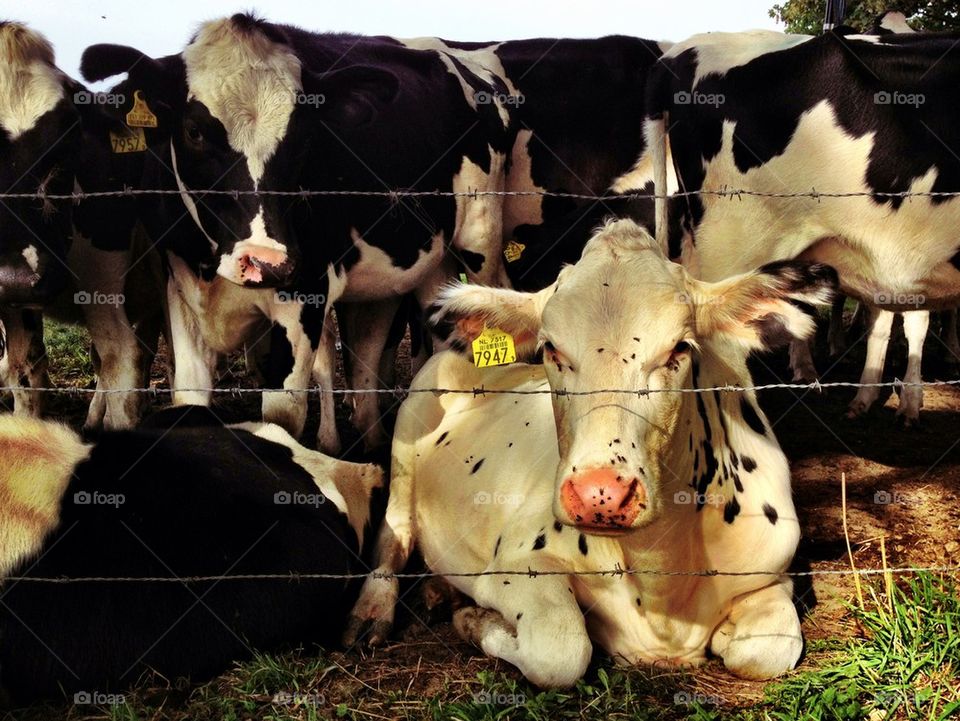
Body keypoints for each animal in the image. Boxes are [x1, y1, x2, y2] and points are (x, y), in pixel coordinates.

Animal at [80, 14, 517, 454]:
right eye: (194, 131)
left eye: (304, 136)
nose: (264, 262)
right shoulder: (182, 291)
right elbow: (189, 398)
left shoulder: (305, 293)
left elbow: (281, 416)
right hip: (418, 269)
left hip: (480, 239)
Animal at [345, 219, 836, 687]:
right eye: (551, 348)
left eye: (679, 348)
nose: (601, 495)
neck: (660, 580)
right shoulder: (516, 565)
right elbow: (561, 650)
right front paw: (472, 619)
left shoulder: (774, 573)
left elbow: (766, 650)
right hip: (406, 444)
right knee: (392, 540)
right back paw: (373, 613)